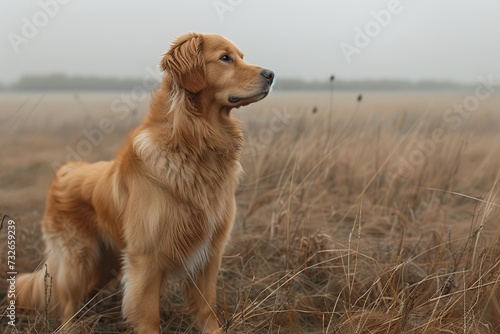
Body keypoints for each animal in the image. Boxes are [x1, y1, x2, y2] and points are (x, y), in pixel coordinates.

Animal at [15, 32, 276, 334]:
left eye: (242, 57)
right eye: (225, 58)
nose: (271, 74)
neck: (193, 143)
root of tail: (66, 170)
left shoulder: (210, 253)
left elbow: (208, 308)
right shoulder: (147, 260)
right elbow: (149, 315)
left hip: (105, 264)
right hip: (77, 261)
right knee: (67, 304)